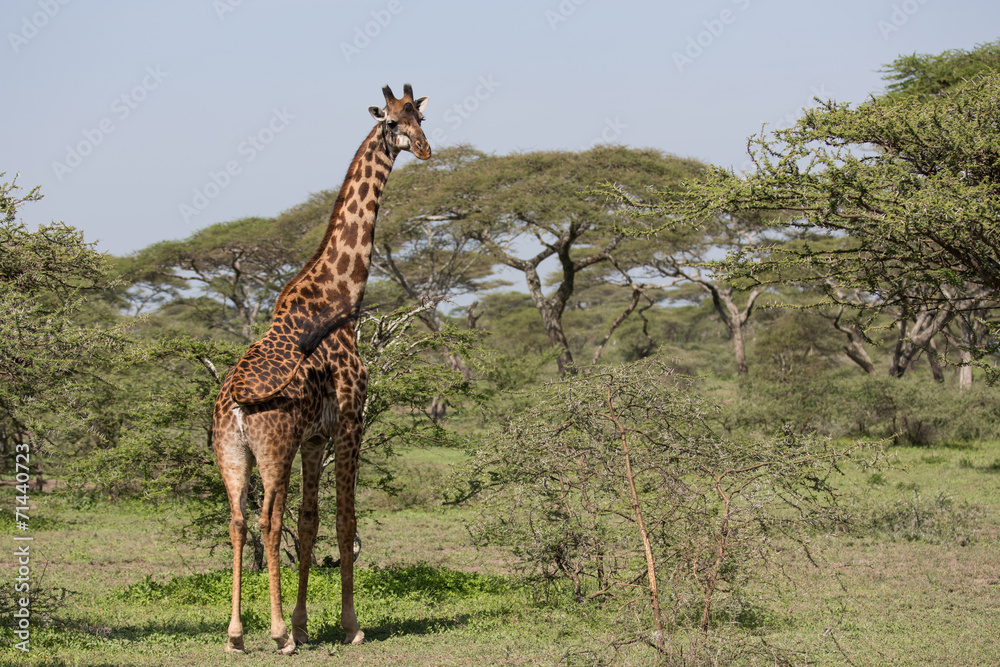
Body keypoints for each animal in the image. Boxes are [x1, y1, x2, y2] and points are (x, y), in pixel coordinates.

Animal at [211, 84, 430, 654]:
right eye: (392, 122)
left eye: (420, 118)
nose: (425, 150)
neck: (341, 295)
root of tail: (237, 404)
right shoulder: (351, 421)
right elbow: (345, 520)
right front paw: (350, 625)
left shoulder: (314, 436)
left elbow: (310, 524)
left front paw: (308, 623)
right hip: (273, 449)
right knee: (268, 521)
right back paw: (275, 633)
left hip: (230, 453)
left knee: (238, 520)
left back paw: (236, 634)